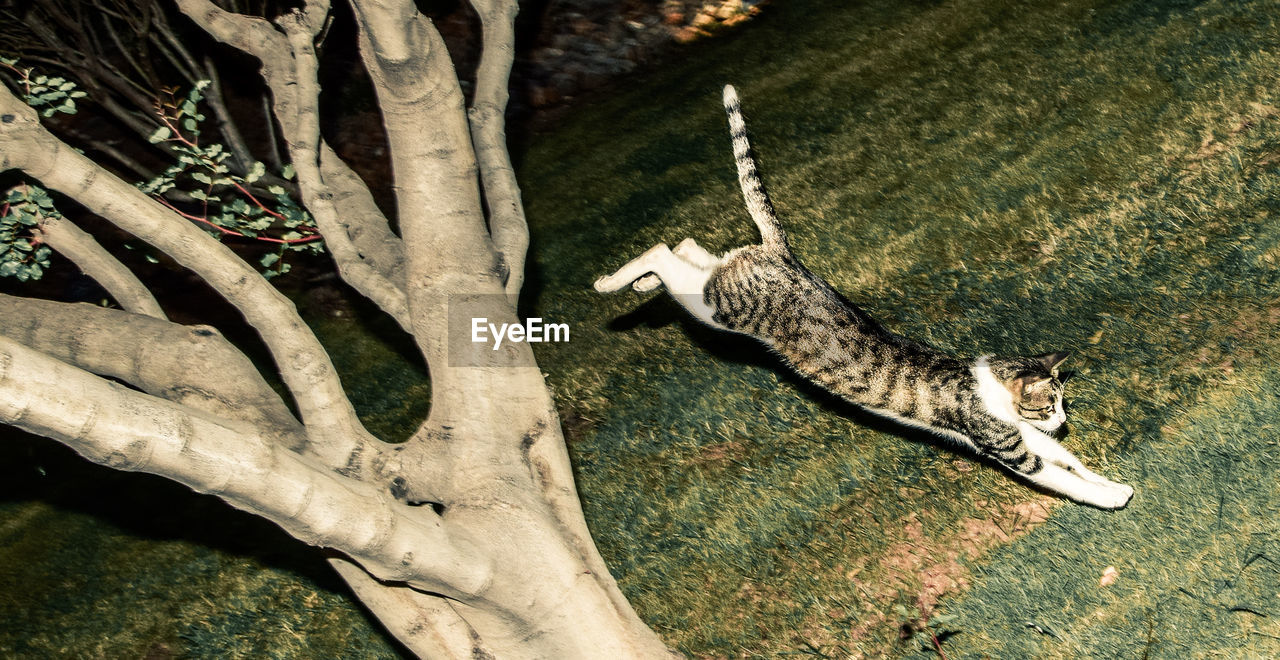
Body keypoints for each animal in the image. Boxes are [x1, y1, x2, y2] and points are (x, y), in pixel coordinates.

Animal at [593, 85, 1136, 509]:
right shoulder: (1009, 447)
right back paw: (612, 283)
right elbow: (1061, 479)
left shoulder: (1024, 438)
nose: (1062, 420)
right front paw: (1109, 497)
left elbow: (1070, 462)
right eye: (1048, 407)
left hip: (716, 291)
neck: (990, 388)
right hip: (717, 310)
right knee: (663, 251)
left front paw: (1112, 482)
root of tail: (786, 257)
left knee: (689, 249)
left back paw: (641, 284)